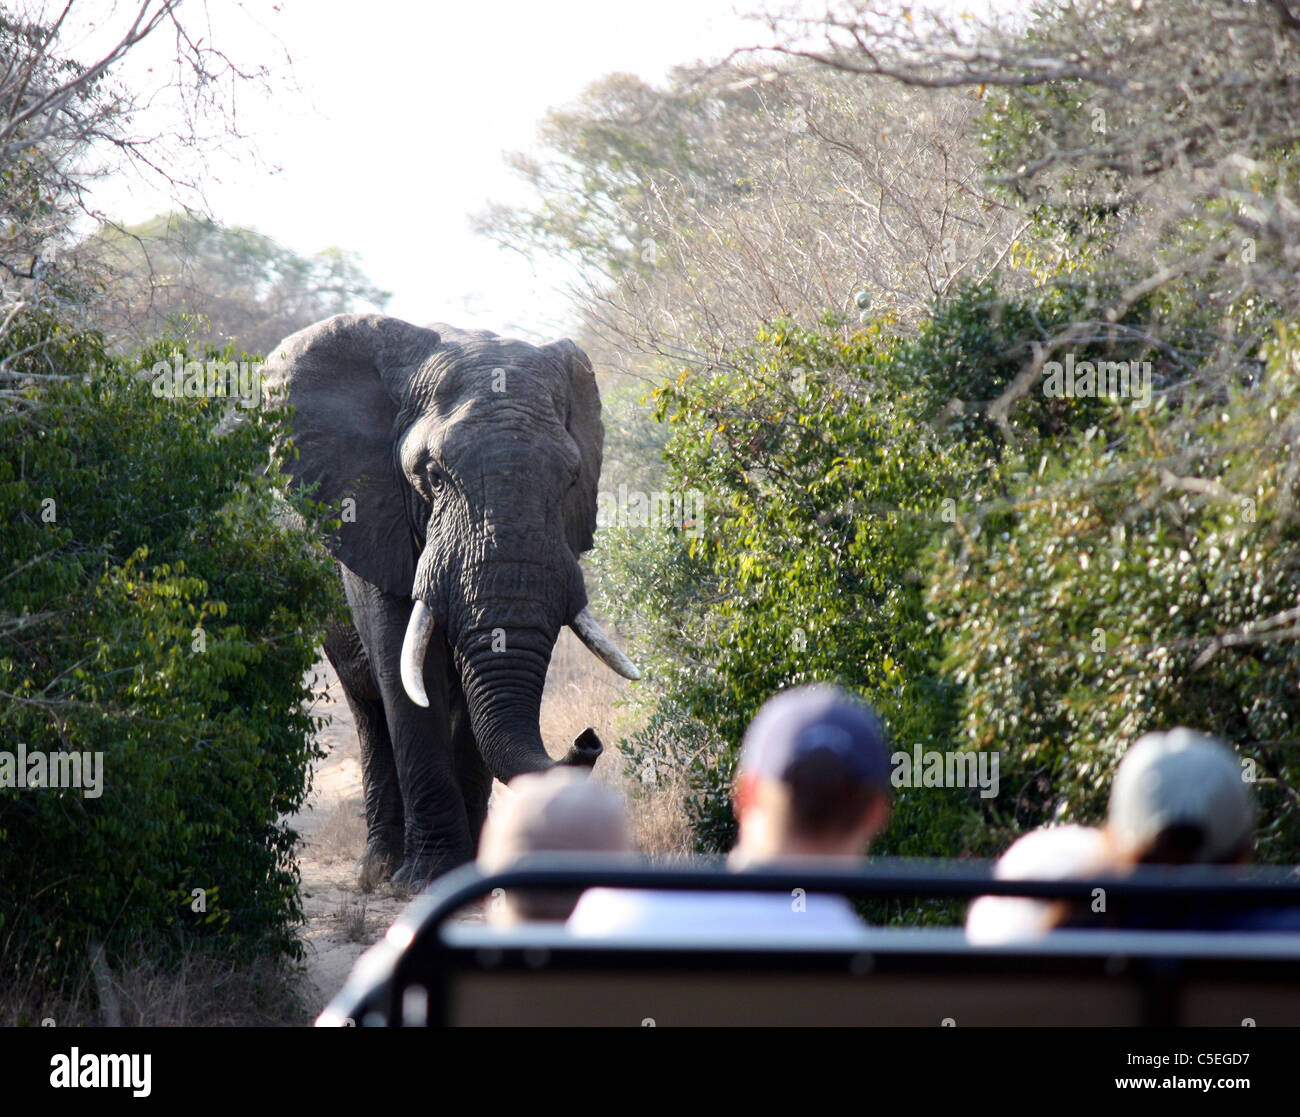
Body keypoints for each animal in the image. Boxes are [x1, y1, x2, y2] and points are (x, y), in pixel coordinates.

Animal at [264, 314, 639, 890]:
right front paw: (424, 881)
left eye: (572, 479)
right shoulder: (371, 518)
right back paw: (378, 871)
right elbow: (404, 677)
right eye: (434, 477)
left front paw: (464, 876)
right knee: (369, 706)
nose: (588, 737)